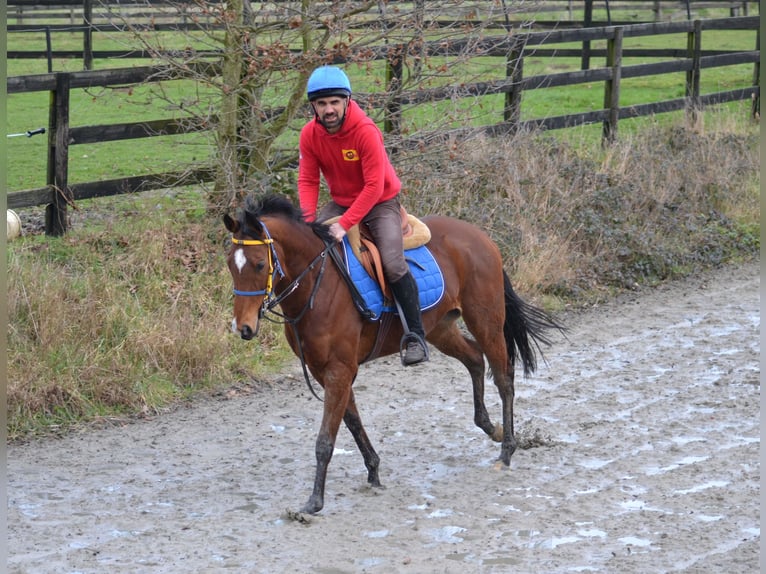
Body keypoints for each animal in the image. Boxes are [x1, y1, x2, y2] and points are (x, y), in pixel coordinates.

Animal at [223, 193, 563, 515]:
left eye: (259, 264)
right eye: (230, 265)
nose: (243, 328)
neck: (316, 286)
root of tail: (481, 237)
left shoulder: (339, 370)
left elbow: (325, 439)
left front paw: (314, 502)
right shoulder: (326, 371)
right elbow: (352, 421)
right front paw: (373, 471)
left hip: (486, 321)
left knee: (503, 377)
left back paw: (507, 449)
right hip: (440, 328)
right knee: (475, 359)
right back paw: (491, 428)